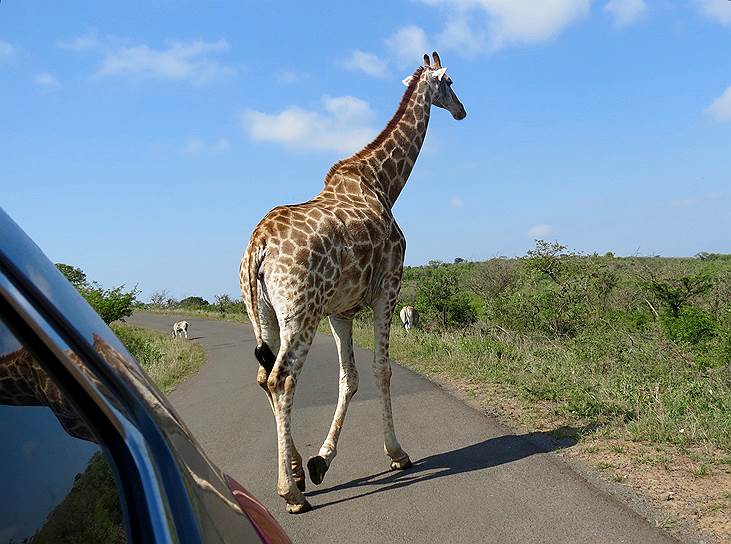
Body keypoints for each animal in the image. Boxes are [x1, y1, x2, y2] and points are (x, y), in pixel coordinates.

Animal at [240, 52, 468, 516]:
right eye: (450, 81)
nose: (462, 111)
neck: (384, 183)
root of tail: (259, 244)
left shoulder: (340, 311)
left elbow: (350, 378)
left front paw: (320, 462)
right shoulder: (388, 289)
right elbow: (382, 369)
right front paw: (397, 454)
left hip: (265, 314)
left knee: (263, 376)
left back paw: (295, 471)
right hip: (300, 313)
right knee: (281, 379)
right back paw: (290, 494)